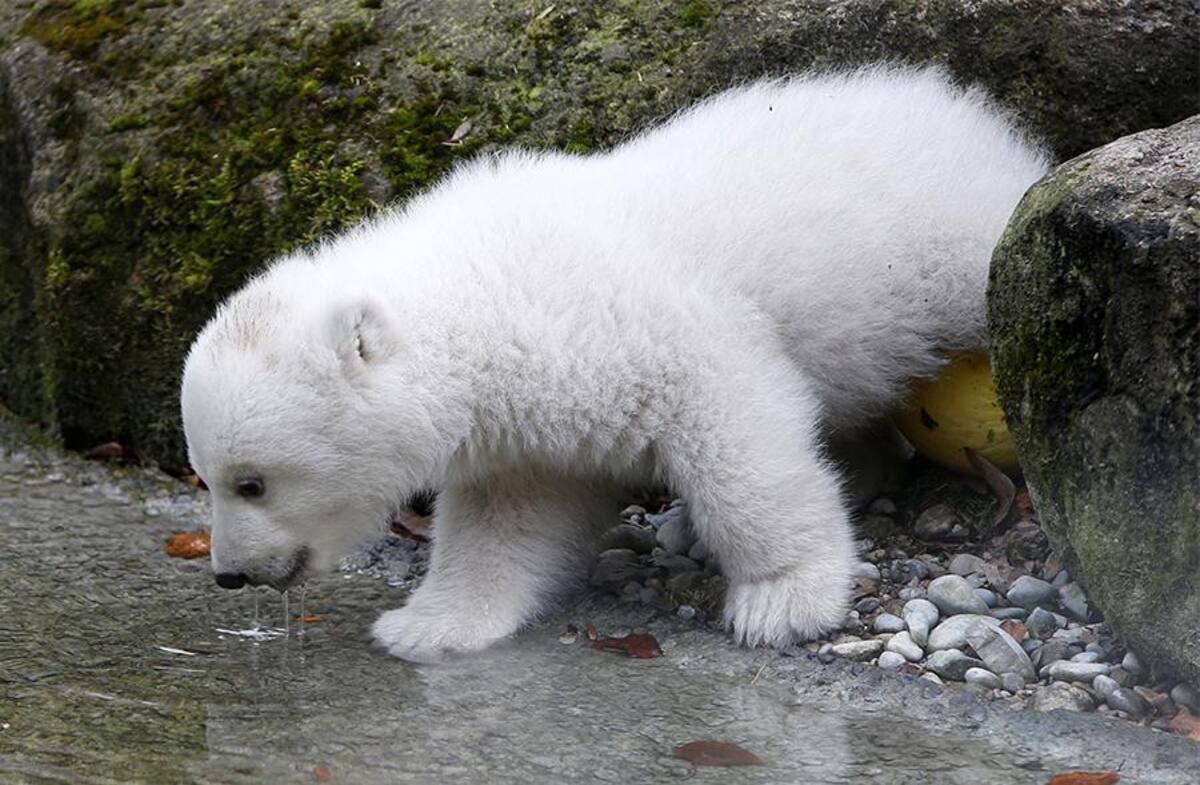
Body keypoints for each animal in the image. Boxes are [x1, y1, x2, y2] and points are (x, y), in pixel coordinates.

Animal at [181, 65, 1049, 662]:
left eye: (250, 482)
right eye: (207, 475)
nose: (228, 574)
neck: (491, 285)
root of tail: (967, 114)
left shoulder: (641, 328)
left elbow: (741, 438)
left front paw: (782, 598)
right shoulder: (524, 419)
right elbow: (507, 520)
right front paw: (425, 623)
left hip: (947, 240)